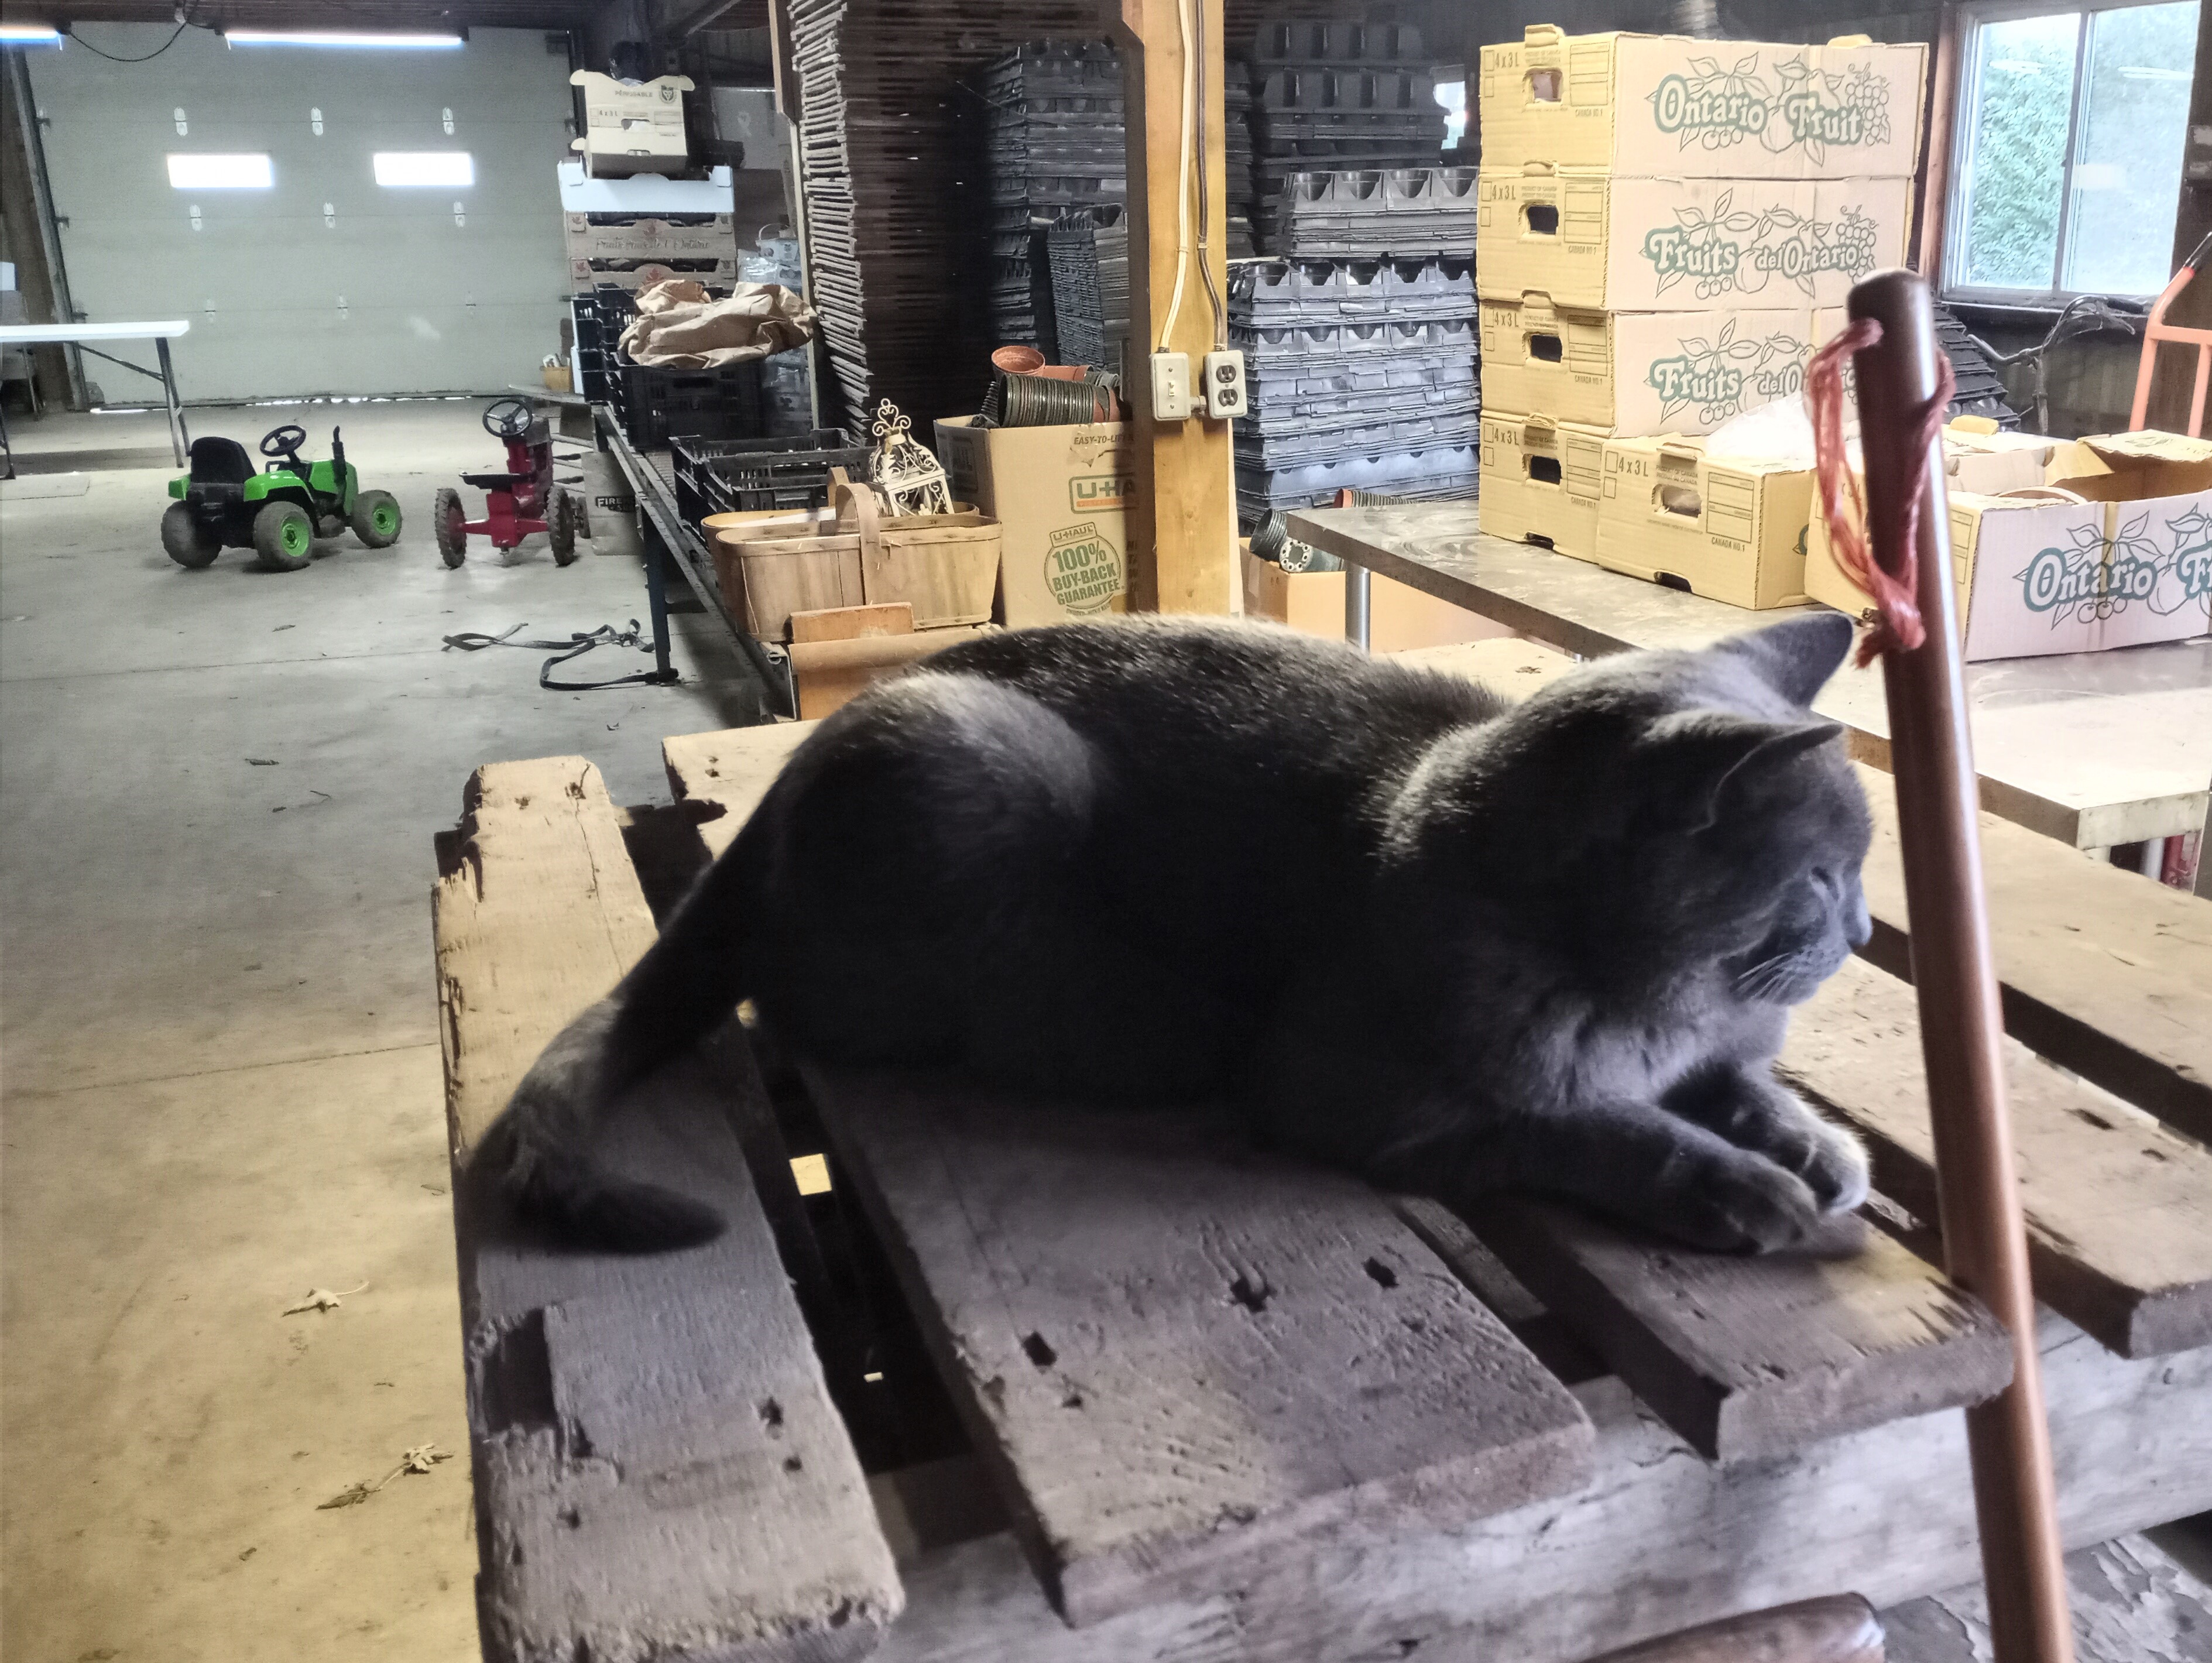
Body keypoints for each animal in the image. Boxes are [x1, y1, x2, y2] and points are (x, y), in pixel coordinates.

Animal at [474, 609, 1874, 1256]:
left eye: (1864, 866)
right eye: (1815, 874)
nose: (1862, 926)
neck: (1650, 999)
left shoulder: (1718, 1051)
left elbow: (1753, 1089)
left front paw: (1814, 1146)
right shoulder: (1368, 1103)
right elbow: (1595, 1126)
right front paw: (1731, 1185)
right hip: (981, 766)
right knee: (808, 1003)